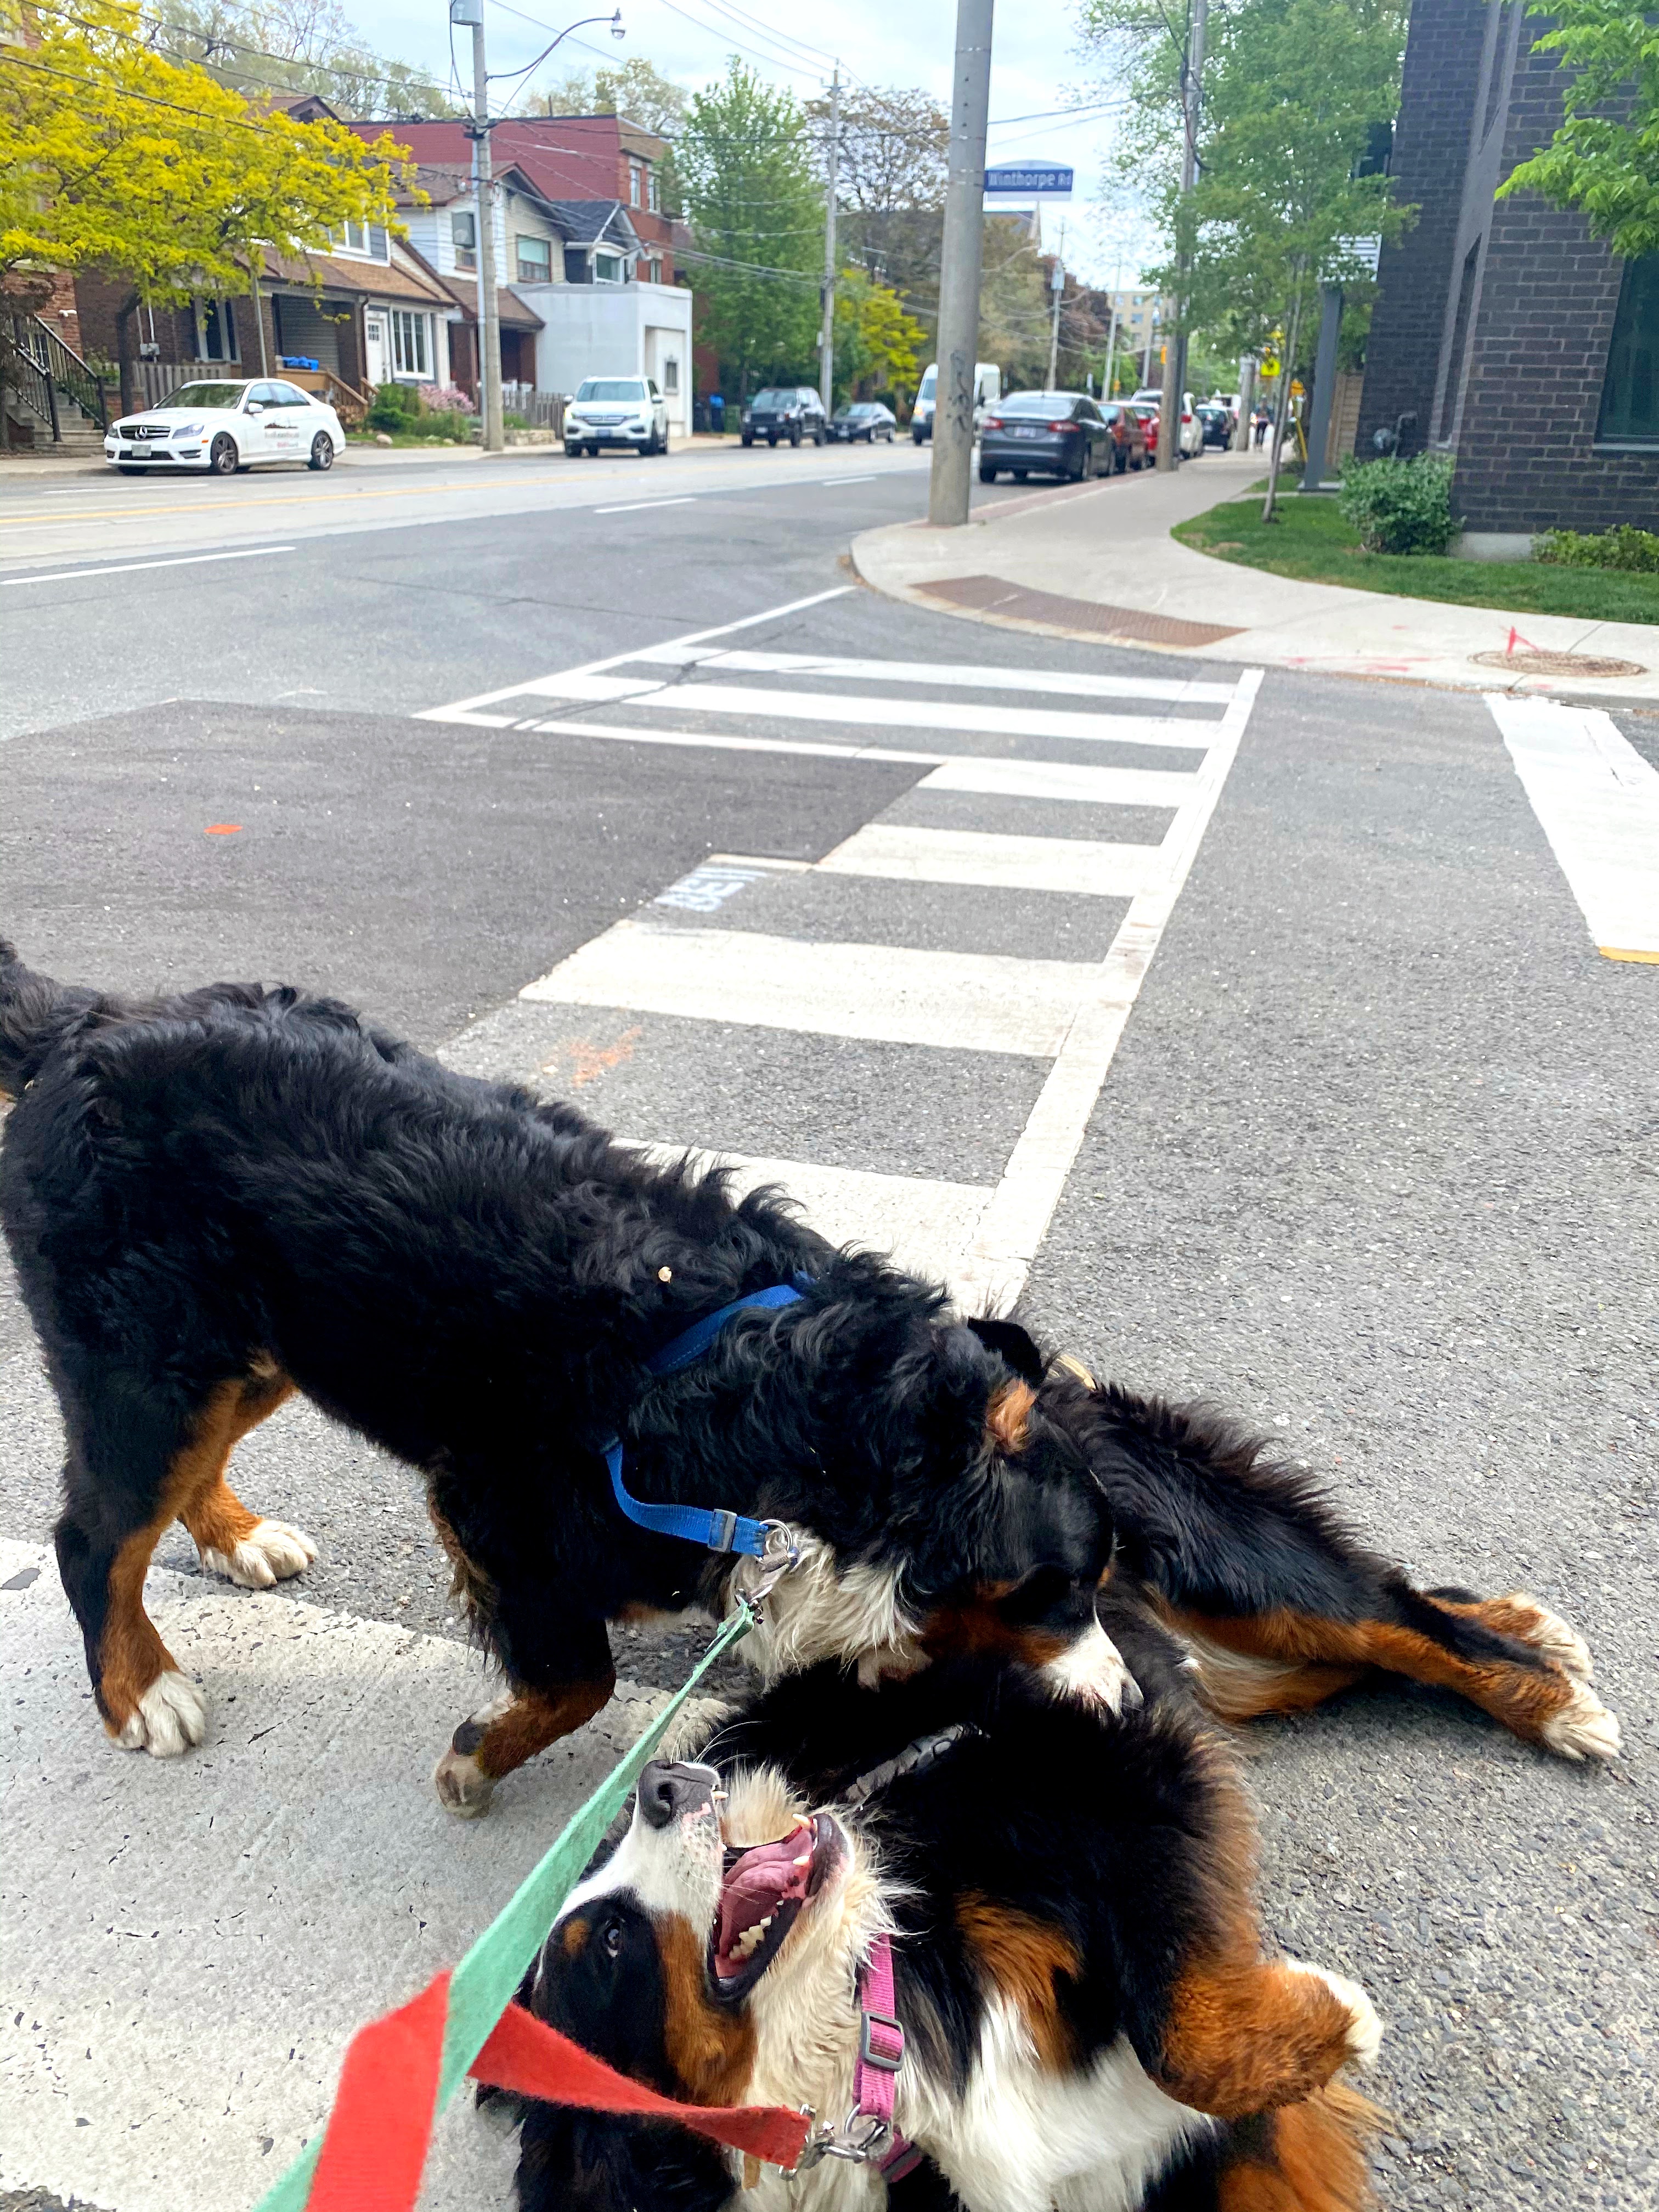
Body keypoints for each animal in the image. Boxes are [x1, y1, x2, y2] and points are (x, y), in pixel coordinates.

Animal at [517, 1601, 1389, 2203]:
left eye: (614, 1840)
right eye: (613, 1944)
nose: (661, 1784)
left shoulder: (1084, 1783)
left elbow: (1182, 2039)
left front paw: (1341, 2015)